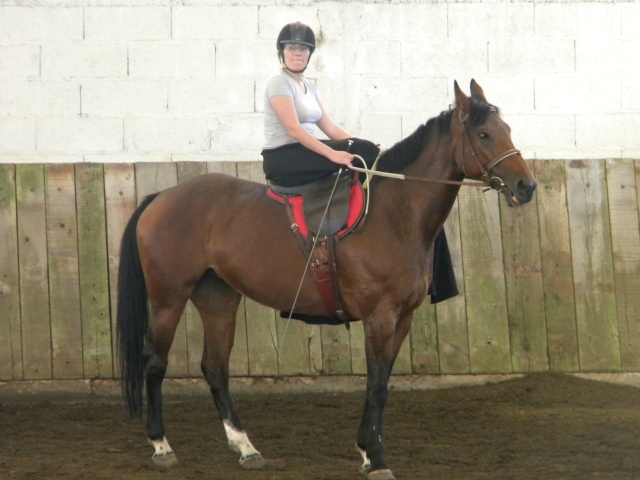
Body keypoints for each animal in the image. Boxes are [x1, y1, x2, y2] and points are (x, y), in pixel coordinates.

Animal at [117, 80, 536, 478]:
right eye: (484, 134)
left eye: (507, 129)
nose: (526, 186)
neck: (393, 213)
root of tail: (161, 197)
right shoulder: (380, 317)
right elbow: (376, 385)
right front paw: (376, 457)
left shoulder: (403, 318)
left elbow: (382, 384)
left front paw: (366, 450)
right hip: (169, 299)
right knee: (155, 362)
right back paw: (161, 446)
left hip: (218, 298)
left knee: (215, 367)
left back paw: (245, 447)